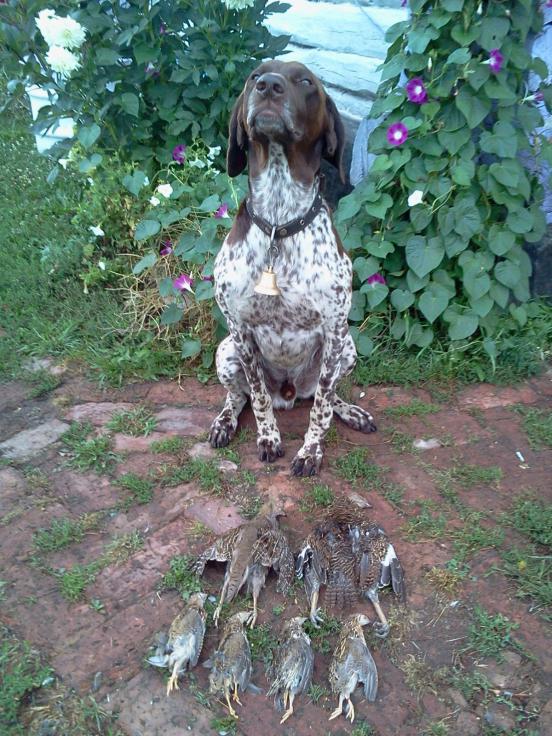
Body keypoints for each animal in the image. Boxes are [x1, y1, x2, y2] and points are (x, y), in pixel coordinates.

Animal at [208, 60, 376, 476]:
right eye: (254, 76)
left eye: (305, 81)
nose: (269, 86)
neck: (278, 219)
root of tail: (288, 392)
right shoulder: (240, 329)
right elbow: (257, 397)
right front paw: (269, 439)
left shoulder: (334, 330)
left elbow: (321, 408)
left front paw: (310, 451)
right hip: (226, 351)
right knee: (238, 397)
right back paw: (224, 422)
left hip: (348, 349)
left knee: (323, 396)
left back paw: (350, 411)